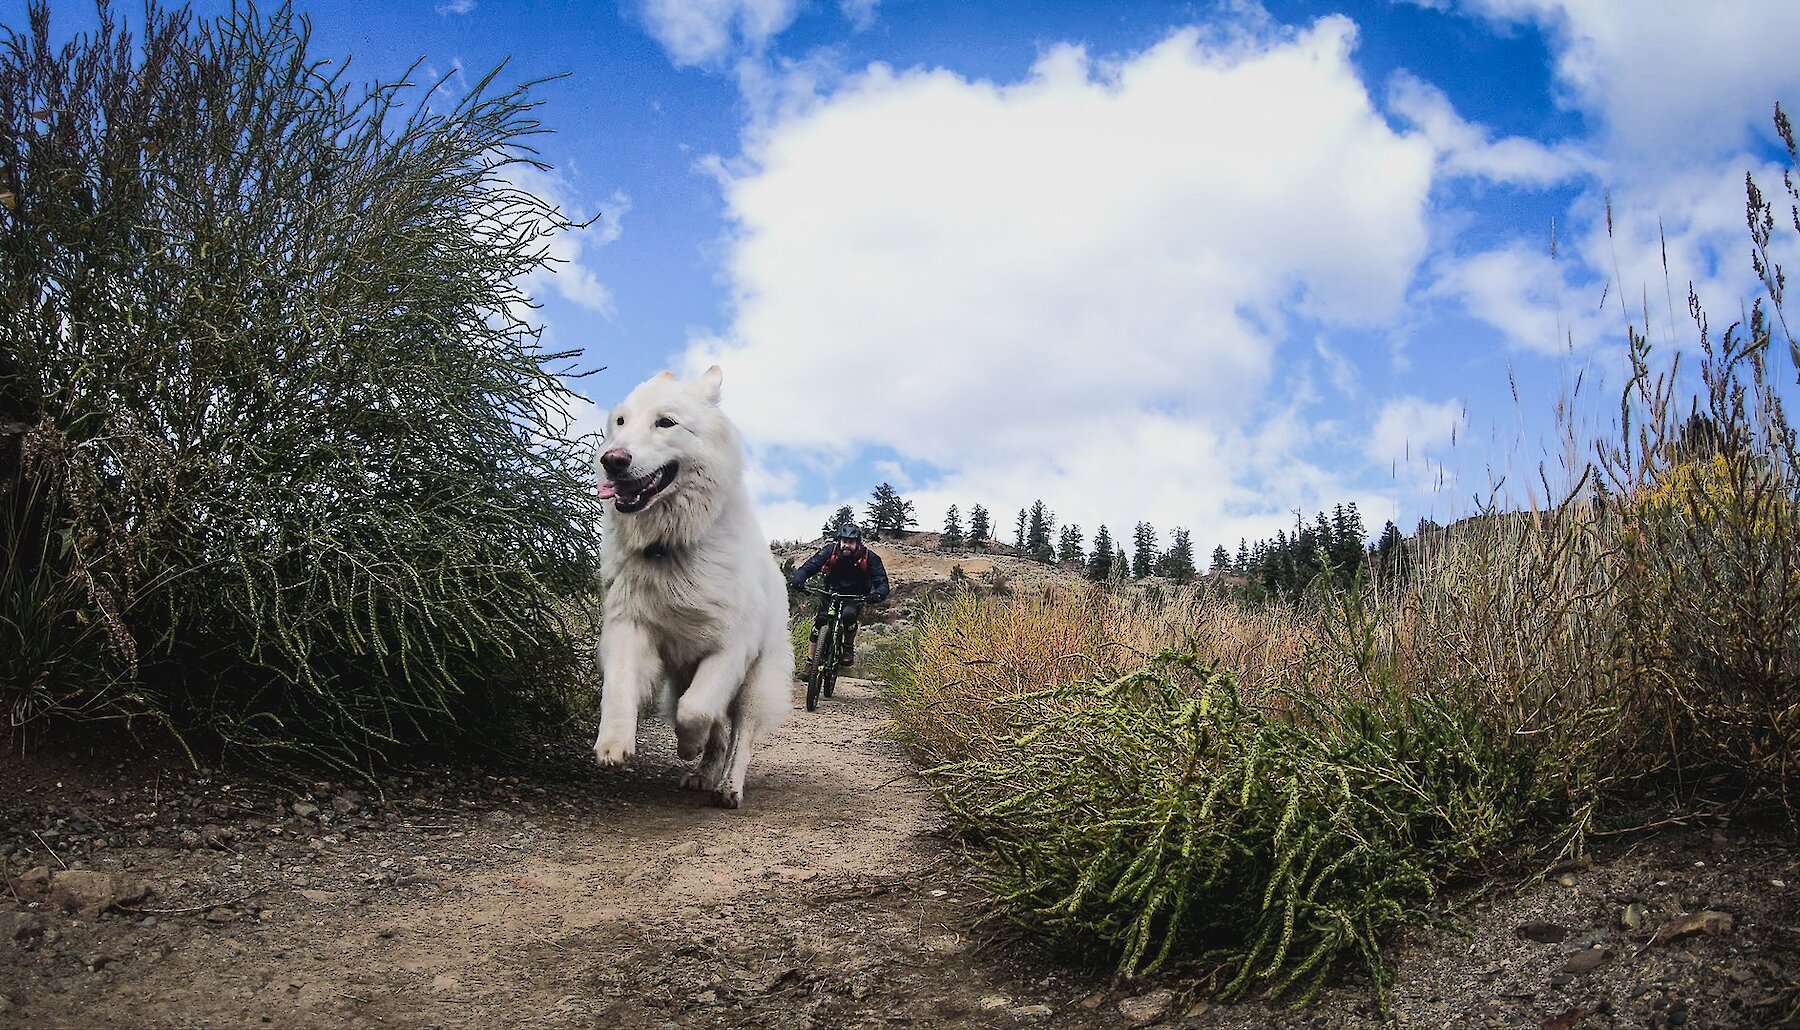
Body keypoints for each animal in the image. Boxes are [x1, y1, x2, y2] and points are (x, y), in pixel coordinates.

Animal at [594, 365, 792, 810]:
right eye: (621, 422)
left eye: (665, 422)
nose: (612, 461)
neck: (670, 545)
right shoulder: (630, 626)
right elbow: (619, 683)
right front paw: (614, 742)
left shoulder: (729, 649)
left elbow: (695, 711)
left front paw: (687, 745)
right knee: (719, 729)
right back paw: (704, 774)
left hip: (754, 686)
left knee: (740, 738)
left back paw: (729, 786)